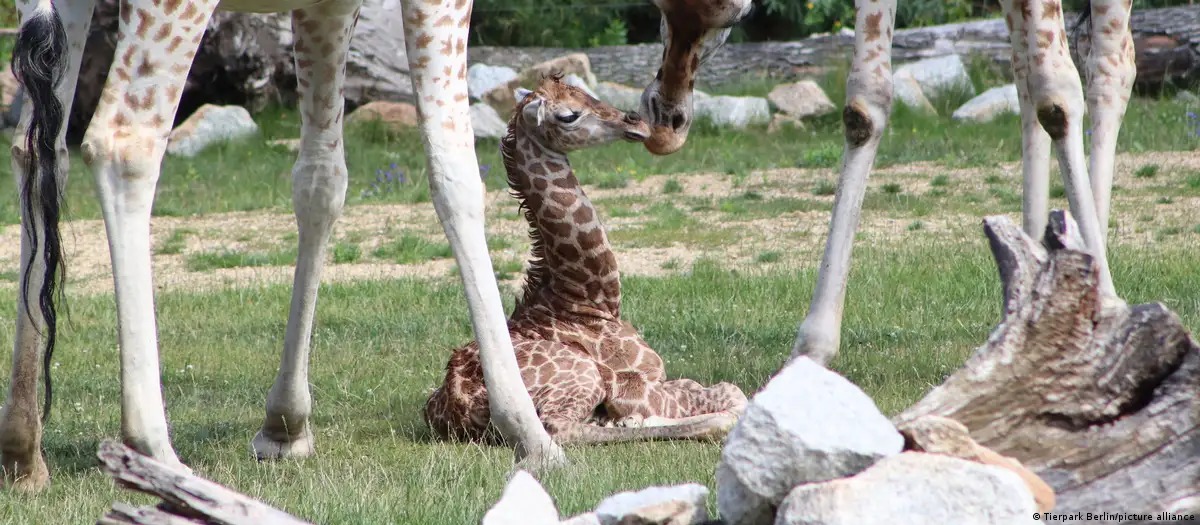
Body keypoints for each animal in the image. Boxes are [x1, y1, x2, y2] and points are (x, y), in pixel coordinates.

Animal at [423, 75, 747, 444]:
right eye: (568, 115)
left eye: (585, 92)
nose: (636, 122)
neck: (587, 299)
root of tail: (459, 405)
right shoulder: (639, 381)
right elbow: (731, 394)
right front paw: (635, 419)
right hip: (583, 376)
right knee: (560, 428)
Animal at [639, 0, 1135, 366]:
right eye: (659, 7)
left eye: (731, 18)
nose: (665, 119)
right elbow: (865, 102)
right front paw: (812, 349)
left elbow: (1058, 91)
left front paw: (1105, 305)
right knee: (1024, 69)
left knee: (1111, 62)